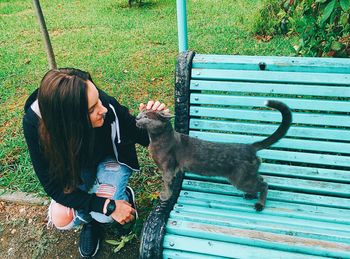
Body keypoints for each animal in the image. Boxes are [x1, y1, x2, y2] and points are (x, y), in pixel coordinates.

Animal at [137, 100, 292, 212]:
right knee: (260, 180)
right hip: (248, 176)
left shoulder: (168, 169)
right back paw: (251, 196)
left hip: (241, 179)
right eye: (140, 113)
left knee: (264, 184)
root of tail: (250, 147)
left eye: (146, 116)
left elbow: (167, 183)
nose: (137, 118)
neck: (156, 139)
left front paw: (165, 196)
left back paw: (260, 204)